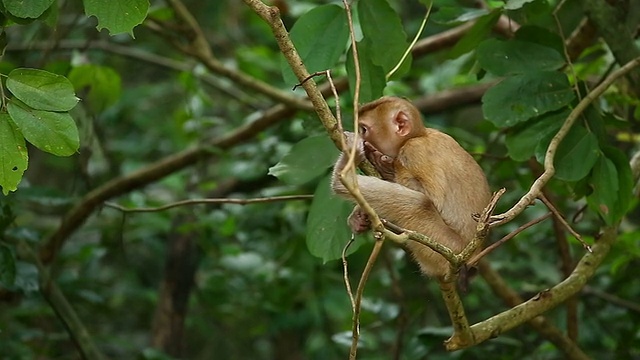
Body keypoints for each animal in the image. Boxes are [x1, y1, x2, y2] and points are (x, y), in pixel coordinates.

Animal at [330, 97, 490, 280]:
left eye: (363, 129)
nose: (360, 137)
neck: (420, 135)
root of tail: (472, 259)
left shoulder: (414, 150)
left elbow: (432, 198)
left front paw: (390, 169)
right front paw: (359, 216)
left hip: (447, 249)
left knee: (419, 203)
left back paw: (343, 175)